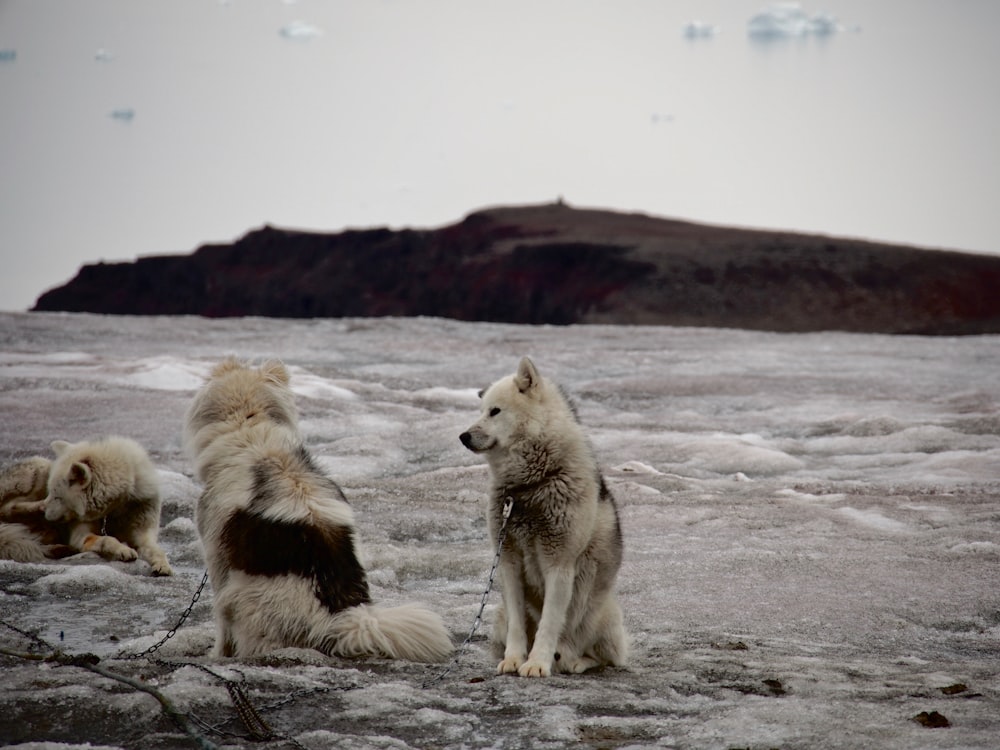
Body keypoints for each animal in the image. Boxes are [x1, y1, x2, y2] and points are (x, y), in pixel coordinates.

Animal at [185, 360, 454, 664]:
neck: (250, 426)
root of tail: (339, 619)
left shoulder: (217, 558)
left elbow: (222, 629)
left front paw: (217, 656)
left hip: (241, 596)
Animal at [458, 356, 624, 680]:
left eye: (495, 411)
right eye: (481, 411)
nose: (463, 436)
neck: (529, 485)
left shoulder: (559, 564)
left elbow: (550, 623)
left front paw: (537, 663)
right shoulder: (508, 561)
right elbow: (518, 624)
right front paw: (514, 659)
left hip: (602, 620)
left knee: (599, 656)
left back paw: (572, 661)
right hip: (498, 615)